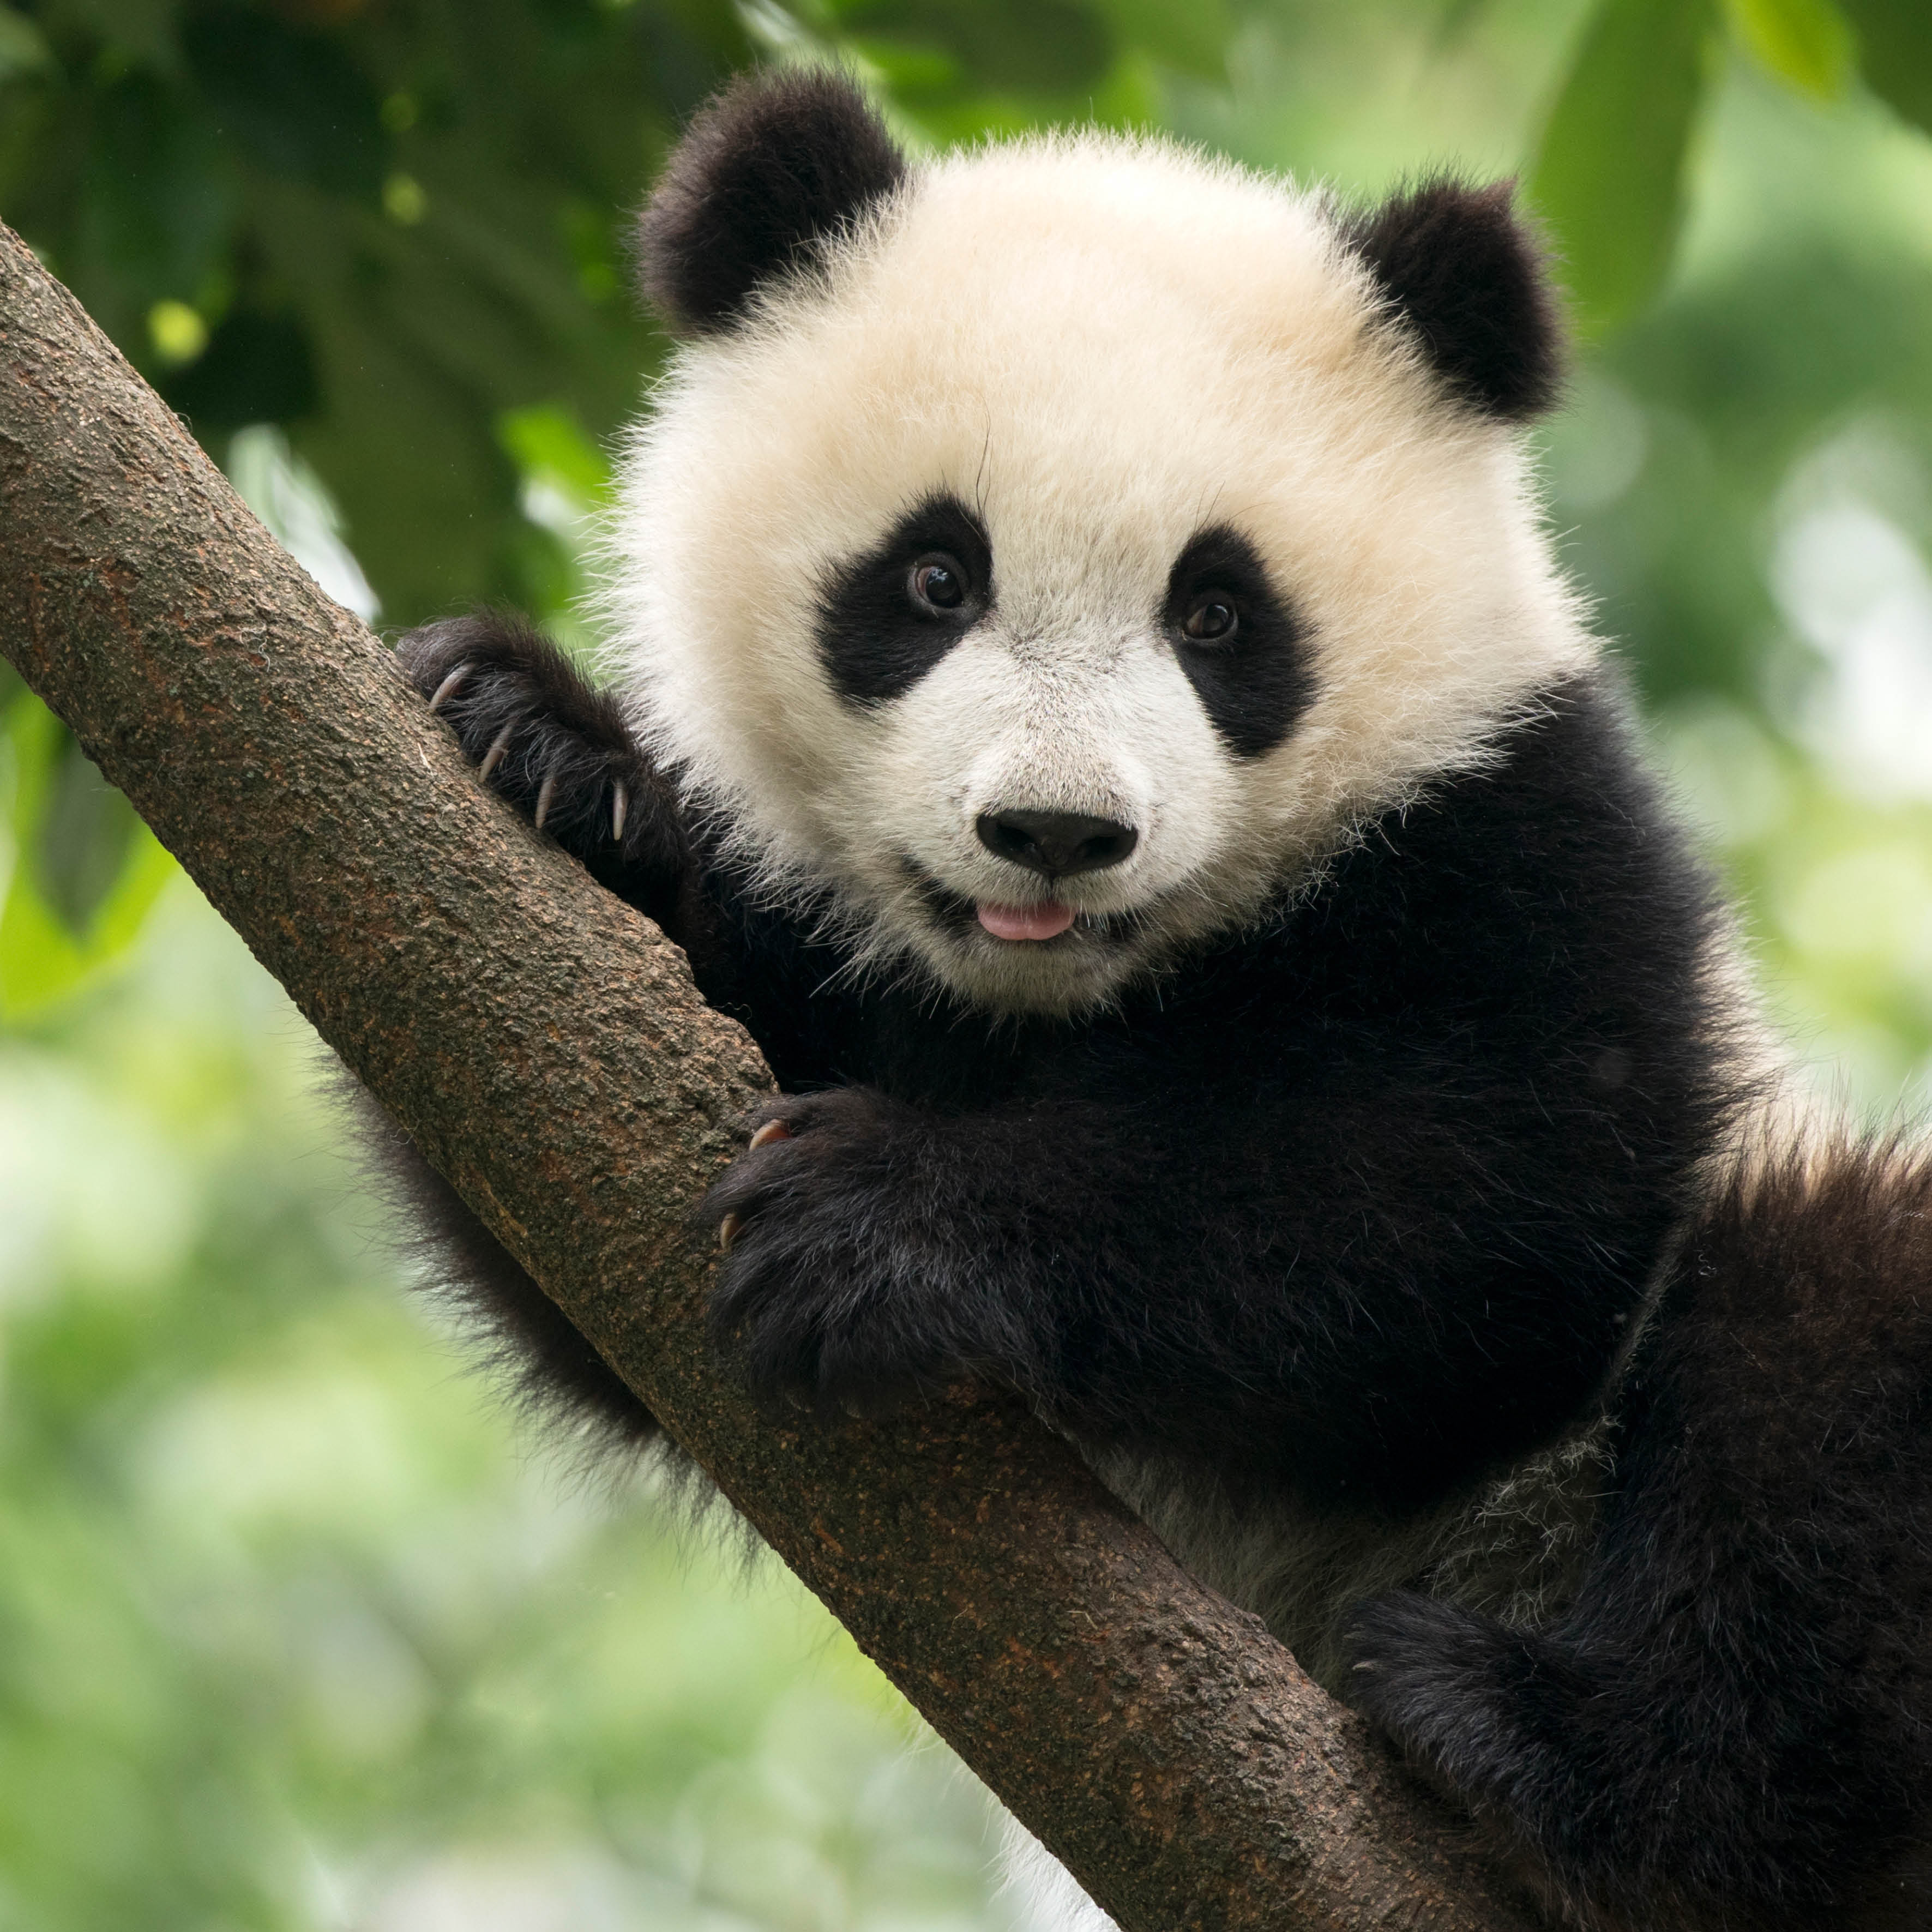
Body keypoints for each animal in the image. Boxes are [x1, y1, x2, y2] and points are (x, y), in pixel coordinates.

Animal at [376, 66, 1932, 1932]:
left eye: (1216, 612)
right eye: (932, 578)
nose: (1054, 831)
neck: (1061, 999)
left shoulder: (1520, 828)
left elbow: (1481, 1204)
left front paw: (883, 1221)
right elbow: (580, 1221)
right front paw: (545, 752)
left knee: (1824, 1348)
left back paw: (1529, 1742)